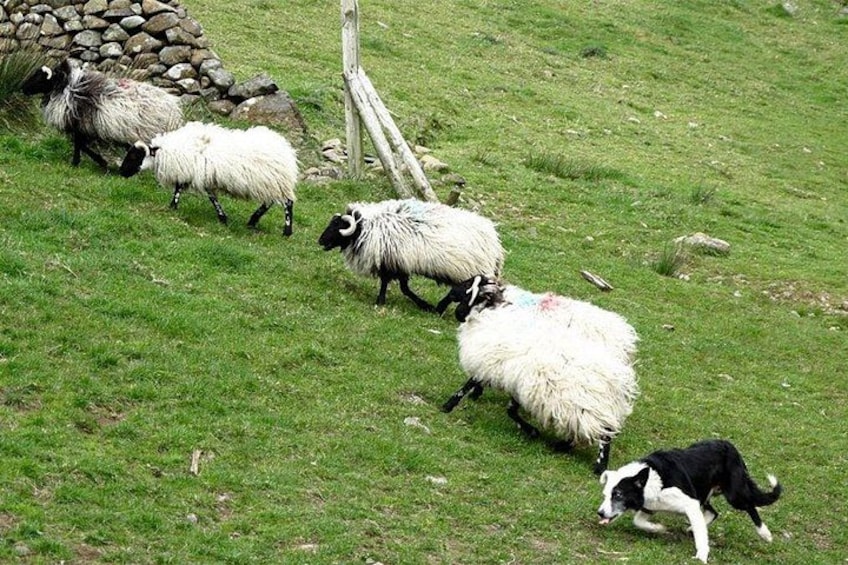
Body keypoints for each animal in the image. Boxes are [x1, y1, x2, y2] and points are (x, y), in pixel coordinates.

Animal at [21, 60, 183, 168]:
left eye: (39, 78)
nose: (22, 88)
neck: (66, 89)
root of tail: (174, 108)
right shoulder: (84, 128)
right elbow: (80, 145)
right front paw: (91, 162)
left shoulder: (81, 125)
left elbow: (79, 144)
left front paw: (84, 162)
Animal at [119, 121, 299, 236]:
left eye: (134, 156)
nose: (121, 172)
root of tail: (287, 150)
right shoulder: (200, 175)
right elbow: (202, 194)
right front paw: (222, 217)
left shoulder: (194, 172)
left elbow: (186, 191)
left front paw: (172, 207)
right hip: (270, 184)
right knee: (270, 202)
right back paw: (253, 221)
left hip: (276, 182)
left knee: (287, 203)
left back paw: (286, 231)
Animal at [317, 199, 504, 311]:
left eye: (336, 226)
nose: (320, 241)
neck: (366, 228)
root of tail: (495, 243)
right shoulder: (398, 264)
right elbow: (403, 288)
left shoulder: (391, 263)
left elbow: (396, 287)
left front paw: (381, 301)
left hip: (471, 272)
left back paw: (439, 309)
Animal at [441, 275, 639, 474]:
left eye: (468, 286)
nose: (452, 295)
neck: (494, 312)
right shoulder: (516, 379)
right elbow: (510, 408)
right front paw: (531, 430)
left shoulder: (490, 363)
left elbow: (471, 385)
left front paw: (448, 405)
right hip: (586, 406)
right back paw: (563, 446)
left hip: (585, 404)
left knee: (604, 433)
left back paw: (598, 466)